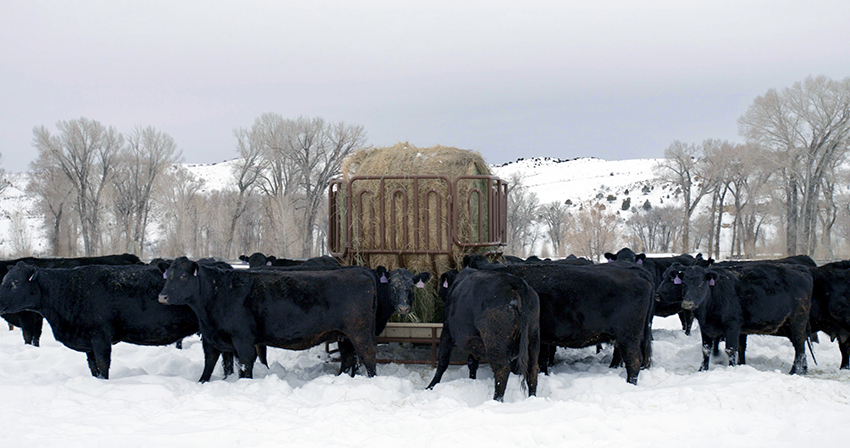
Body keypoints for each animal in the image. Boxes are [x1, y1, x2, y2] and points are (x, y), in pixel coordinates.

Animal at [0, 262, 204, 378]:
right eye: (4, 280)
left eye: (16, 282)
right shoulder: (88, 342)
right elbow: (93, 368)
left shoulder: (100, 337)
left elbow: (102, 365)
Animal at [158, 258, 380, 380]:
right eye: (168, 276)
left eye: (184, 276)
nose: (163, 296)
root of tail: (358, 270)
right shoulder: (210, 339)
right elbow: (209, 365)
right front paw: (202, 383)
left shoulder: (243, 339)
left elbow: (245, 364)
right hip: (344, 335)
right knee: (348, 357)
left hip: (359, 331)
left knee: (368, 356)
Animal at [428, 268, 540, 400]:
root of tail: (514, 281)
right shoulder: (474, 341)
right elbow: (472, 362)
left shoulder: (447, 331)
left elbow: (443, 362)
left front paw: (431, 386)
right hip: (533, 337)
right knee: (532, 369)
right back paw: (532, 397)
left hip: (494, 341)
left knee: (502, 369)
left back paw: (496, 400)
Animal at [656, 262, 808, 374]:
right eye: (683, 283)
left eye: (701, 284)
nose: (687, 303)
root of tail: (801, 269)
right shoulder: (705, 327)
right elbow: (706, 349)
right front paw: (702, 370)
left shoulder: (732, 326)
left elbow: (731, 349)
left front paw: (731, 369)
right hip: (789, 325)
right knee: (800, 347)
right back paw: (801, 370)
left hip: (797, 322)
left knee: (799, 347)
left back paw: (794, 371)